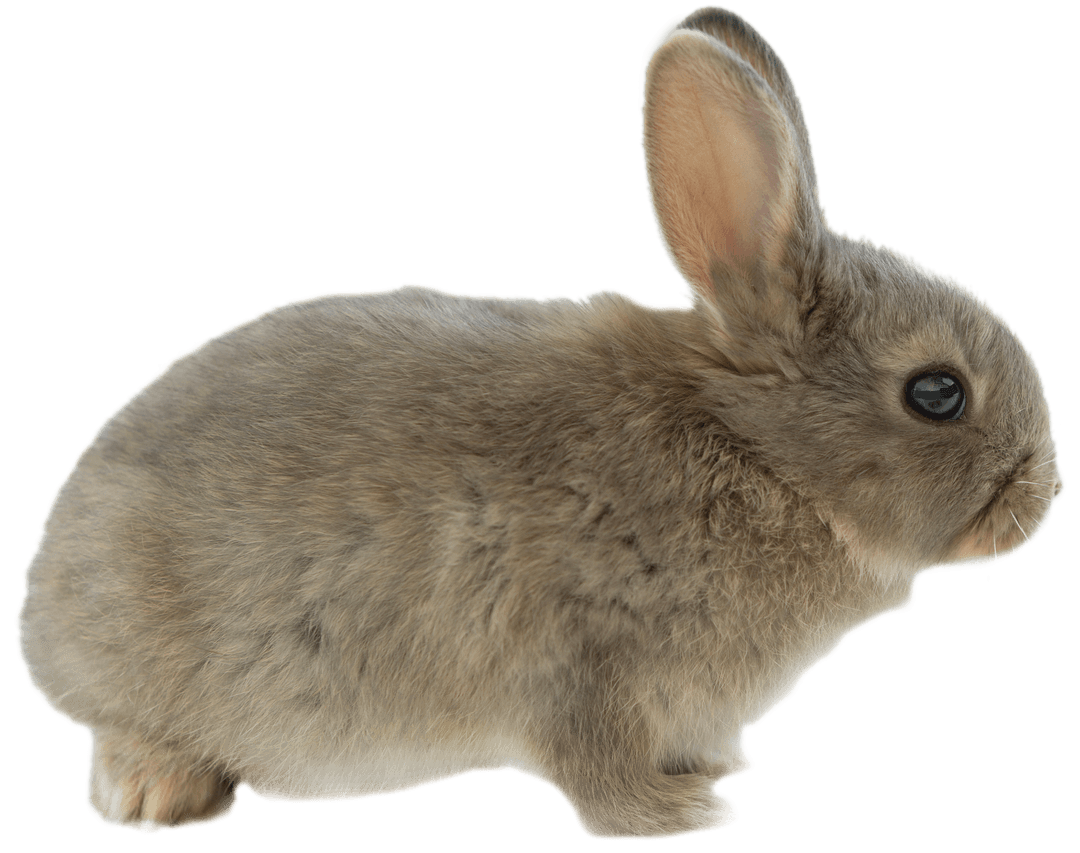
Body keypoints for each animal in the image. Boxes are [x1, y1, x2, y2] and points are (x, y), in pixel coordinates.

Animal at [15, 3, 1066, 841]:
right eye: (937, 392)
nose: (1044, 495)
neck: (759, 452)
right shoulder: (580, 662)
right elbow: (592, 767)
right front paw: (679, 813)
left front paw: (714, 770)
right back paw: (156, 793)